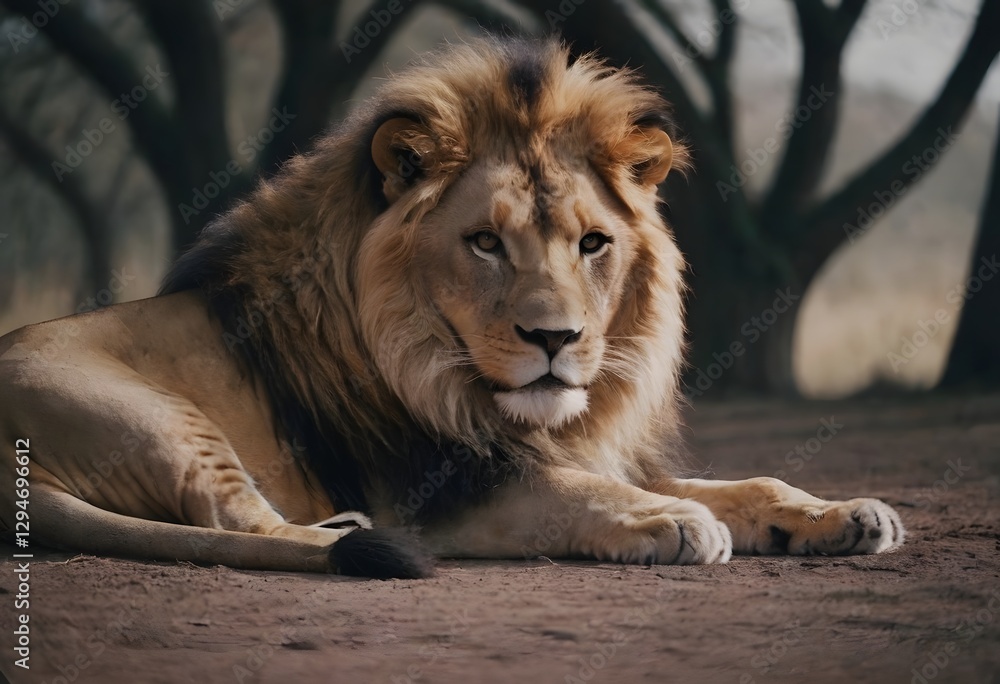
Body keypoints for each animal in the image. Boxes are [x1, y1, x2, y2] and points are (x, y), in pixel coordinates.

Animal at [0, 38, 902, 578]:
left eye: (593, 243)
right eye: (485, 243)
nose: (554, 338)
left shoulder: (579, 449)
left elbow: (750, 482)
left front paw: (842, 512)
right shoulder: (450, 490)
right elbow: (582, 496)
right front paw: (674, 519)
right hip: (161, 419)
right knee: (248, 525)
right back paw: (350, 534)